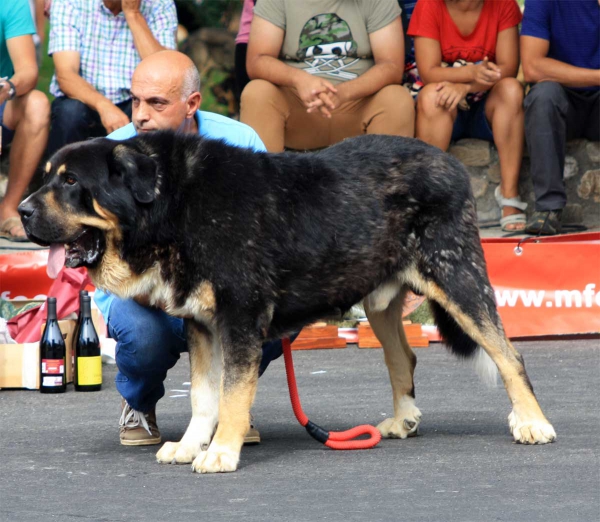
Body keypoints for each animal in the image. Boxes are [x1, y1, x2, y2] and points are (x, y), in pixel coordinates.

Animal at [18, 133, 556, 472]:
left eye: (71, 182)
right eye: (47, 178)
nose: (21, 210)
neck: (173, 203)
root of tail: (452, 163)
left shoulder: (240, 319)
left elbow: (233, 394)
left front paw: (222, 452)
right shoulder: (203, 325)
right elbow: (203, 396)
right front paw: (191, 445)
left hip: (458, 277)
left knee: (509, 354)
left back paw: (533, 422)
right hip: (381, 303)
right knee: (403, 357)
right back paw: (403, 419)